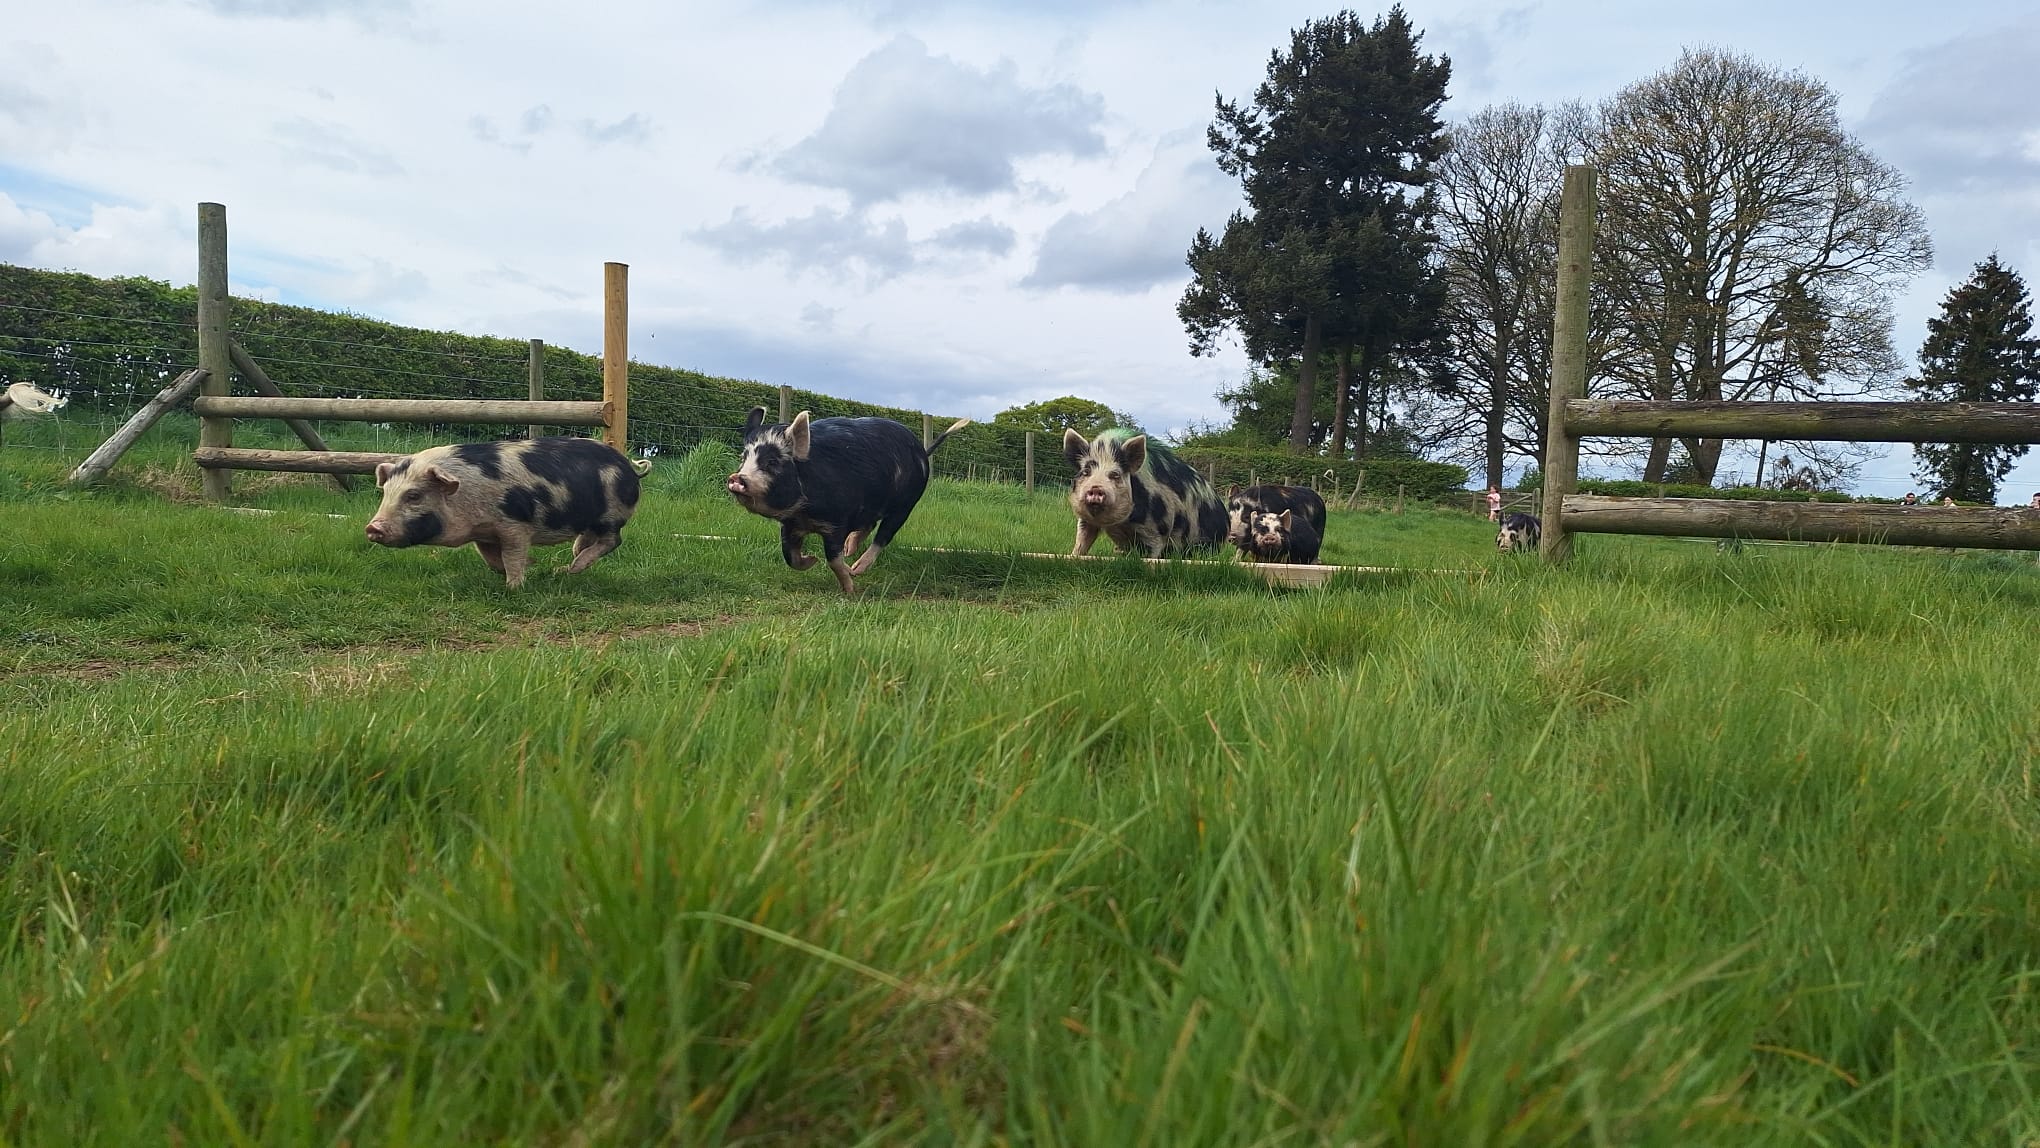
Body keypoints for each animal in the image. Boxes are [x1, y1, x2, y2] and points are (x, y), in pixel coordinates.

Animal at [364, 436, 649, 588]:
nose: (372, 527)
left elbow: (512, 554)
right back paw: (566, 565)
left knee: (612, 540)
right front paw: (528, 567)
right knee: (587, 540)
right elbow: (491, 557)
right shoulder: (483, 533)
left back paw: (572, 567)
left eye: (413, 496)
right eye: (385, 493)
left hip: (611, 515)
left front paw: (514, 586)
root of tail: (630, 468)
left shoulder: (515, 525)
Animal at [726, 407, 969, 594]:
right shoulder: (791, 525)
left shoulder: (837, 522)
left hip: (906, 504)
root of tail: (922, 451)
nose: (736, 478)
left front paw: (850, 587)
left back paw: (858, 567)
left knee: (884, 534)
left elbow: (833, 559)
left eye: (772, 462)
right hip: (872, 508)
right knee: (868, 524)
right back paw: (850, 549)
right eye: (743, 458)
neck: (805, 513)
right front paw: (812, 560)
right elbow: (789, 557)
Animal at [1065, 428, 1228, 557]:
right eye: (1085, 472)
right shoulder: (1086, 520)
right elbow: (1082, 539)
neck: (1120, 523)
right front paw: (1073, 556)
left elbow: (1151, 551)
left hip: (1206, 542)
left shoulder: (1157, 527)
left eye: (1115, 475)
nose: (1096, 487)